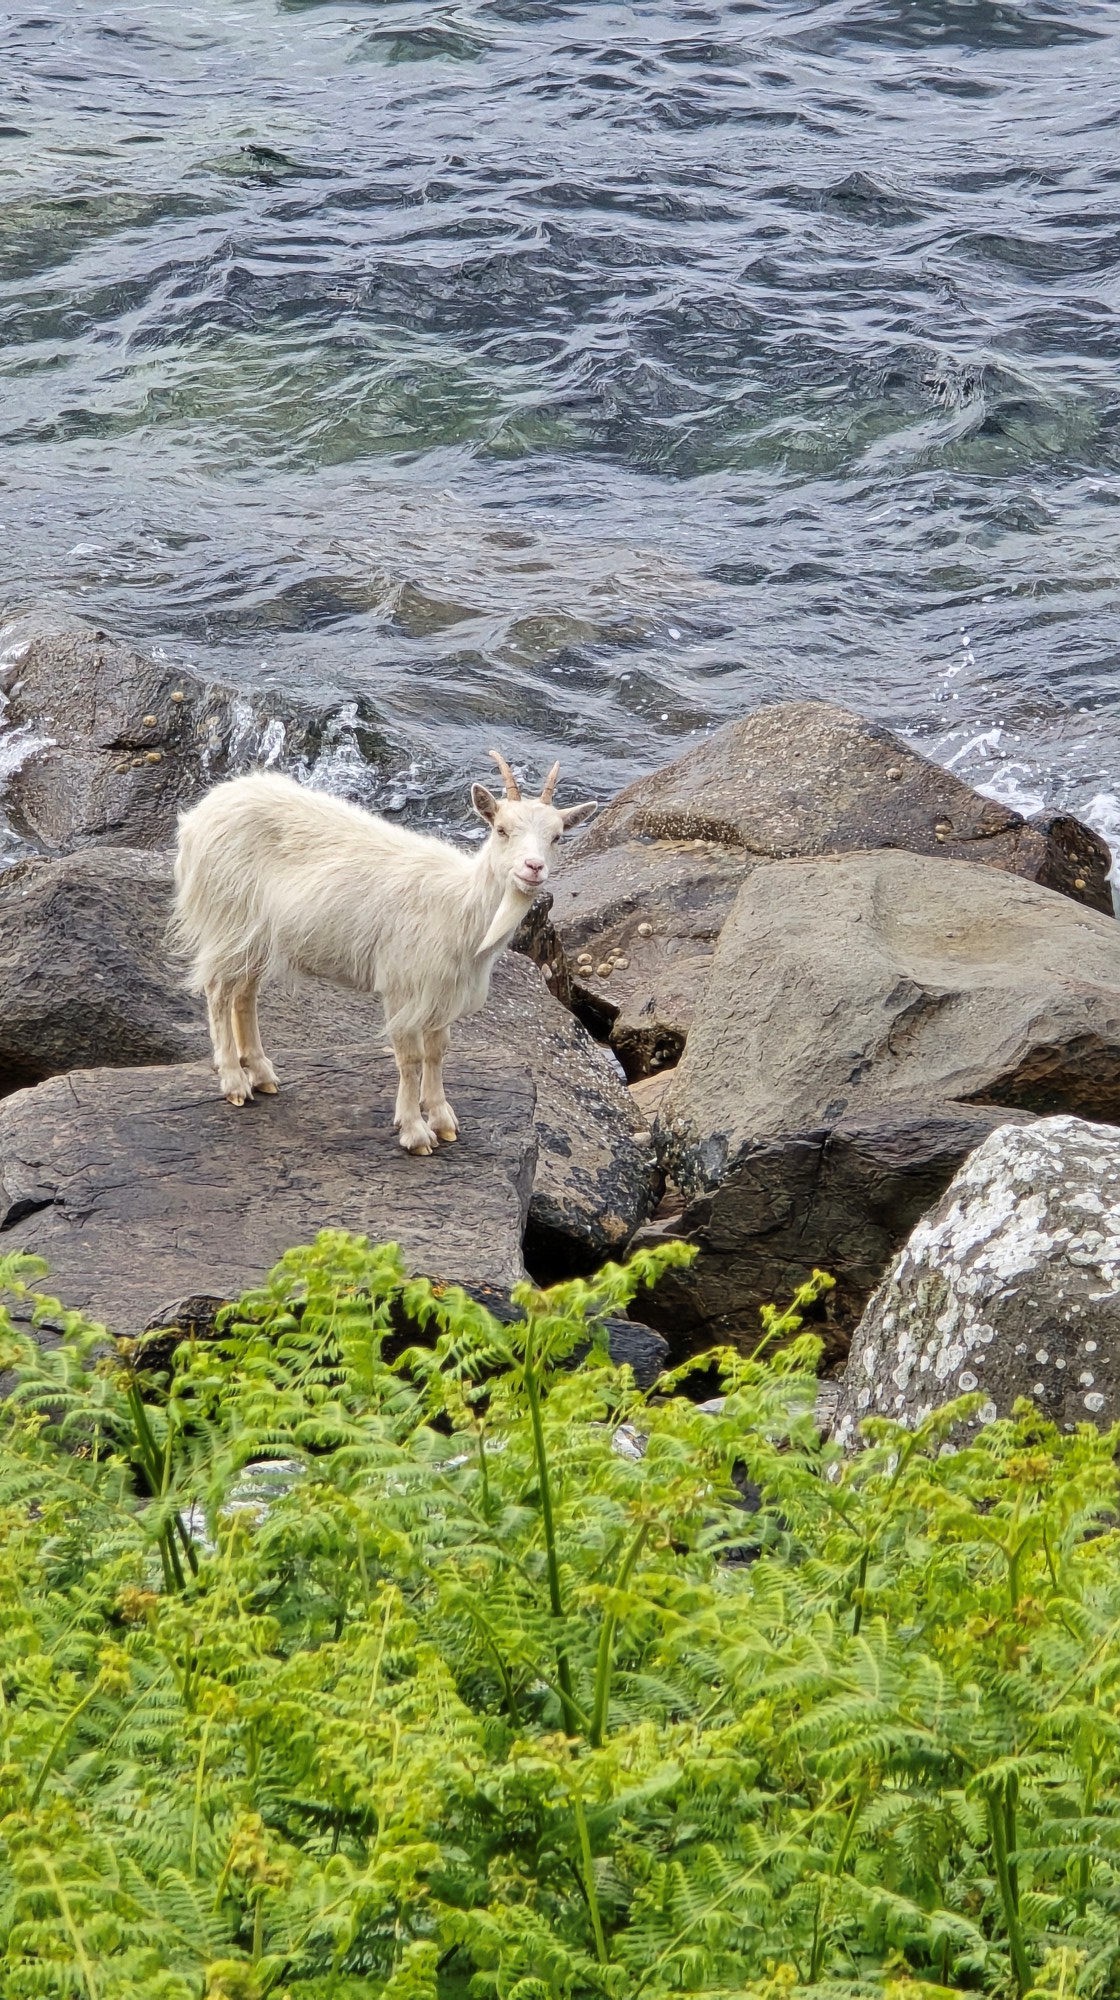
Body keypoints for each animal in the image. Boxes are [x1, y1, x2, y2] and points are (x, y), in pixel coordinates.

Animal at [171, 751, 598, 1154]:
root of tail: (202, 813)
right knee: (218, 990)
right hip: (228, 916)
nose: (533, 867)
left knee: (244, 994)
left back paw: (261, 1074)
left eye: (557, 837)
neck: (462, 905)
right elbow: (410, 1059)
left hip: (256, 935)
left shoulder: (442, 990)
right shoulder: (403, 985)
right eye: (501, 829)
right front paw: (415, 1131)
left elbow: (437, 1052)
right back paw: (233, 1081)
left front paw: (442, 1118)